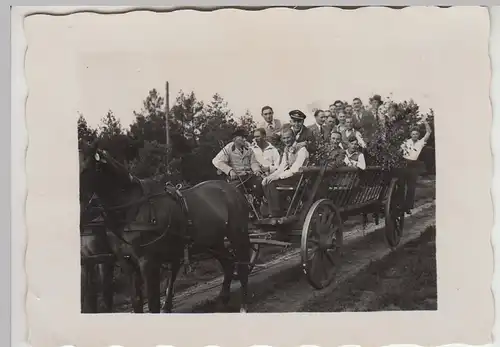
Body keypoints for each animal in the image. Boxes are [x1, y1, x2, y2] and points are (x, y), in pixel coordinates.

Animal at [80, 141, 256, 312]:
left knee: (242, 267)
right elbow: (136, 302)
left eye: (85, 169)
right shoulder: (127, 263)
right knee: (228, 264)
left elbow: (153, 303)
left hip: (237, 235)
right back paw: (224, 298)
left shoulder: (149, 262)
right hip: (213, 241)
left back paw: (244, 304)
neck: (133, 209)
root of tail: (233, 190)